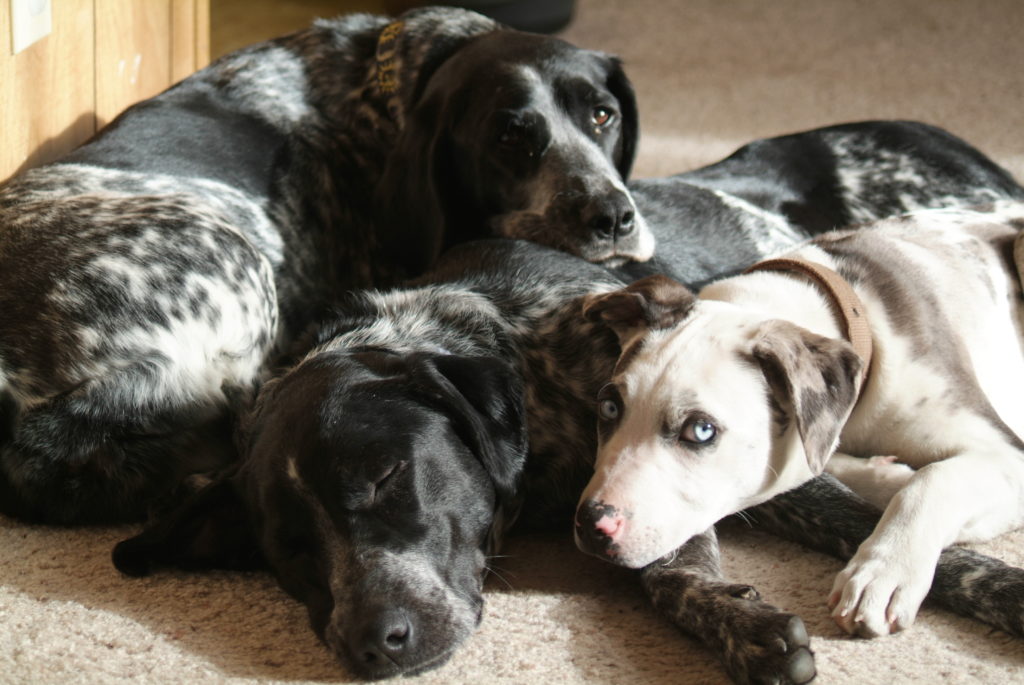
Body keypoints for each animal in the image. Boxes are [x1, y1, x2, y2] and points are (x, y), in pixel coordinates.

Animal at [581, 200, 1024, 638]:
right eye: (609, 407)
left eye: (701, 431)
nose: (592, 524)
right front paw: (888, 475)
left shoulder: (1008, 453)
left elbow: (932, 480)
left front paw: (883, 571)